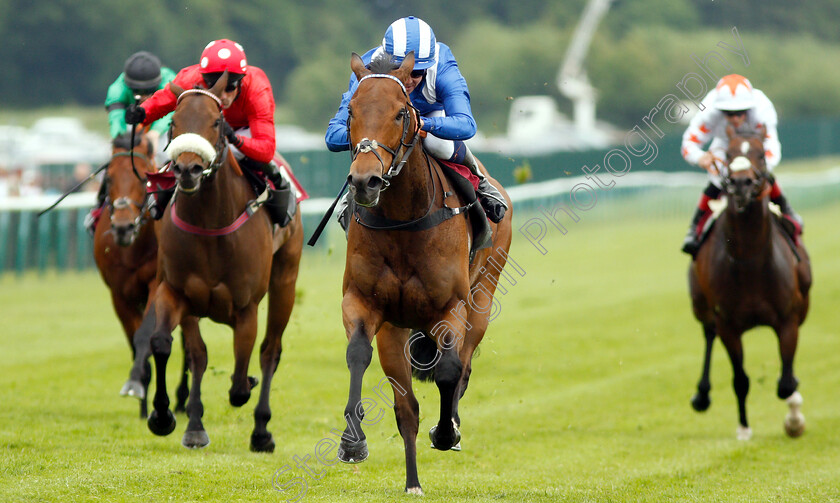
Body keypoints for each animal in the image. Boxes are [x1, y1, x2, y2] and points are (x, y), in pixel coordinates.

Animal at [94, 132, 194, 420]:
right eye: (109, 178)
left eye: (142, 178)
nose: (123, 227)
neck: (133, 248)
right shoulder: (118, 294)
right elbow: (134, 341)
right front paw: (141, 395)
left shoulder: (156, 285)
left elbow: (145, 336)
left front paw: (138, 385)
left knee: (188, 345)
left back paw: (183, 399)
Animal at [131, 76, 302, 452]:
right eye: (174, 122)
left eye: (215, 122)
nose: (188, 170)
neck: (210, 222)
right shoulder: (177, 292)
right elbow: (172, 347)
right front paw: (169, 418)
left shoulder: (246, 307)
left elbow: (240, 378)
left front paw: (248, 391)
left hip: (285, 280)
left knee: (270, 351)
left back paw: (261, 431)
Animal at [334, 53, 512, 494]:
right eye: (351, 111)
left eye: (401, 112)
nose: (365, 181)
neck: (403, 222)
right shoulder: (364, 304)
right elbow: (358, 355)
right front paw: (352, 442)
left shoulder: (451, 307)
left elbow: (449, 371)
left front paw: (446, 432)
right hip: (397, 330)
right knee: (407, 407)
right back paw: (412, 480)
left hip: (483, 298)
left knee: (463, 366)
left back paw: (451, 428)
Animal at [688, 126, 812, 440]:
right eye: (728, 153)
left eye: (760, 153)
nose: (741, 184)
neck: (750, 261)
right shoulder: (728, 324)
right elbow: (740, 379)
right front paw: (743, 427)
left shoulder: (788, 319)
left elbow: (786, 382)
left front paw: (794, 420)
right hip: (701, 305)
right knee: (708, 333)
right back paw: (702, 395)